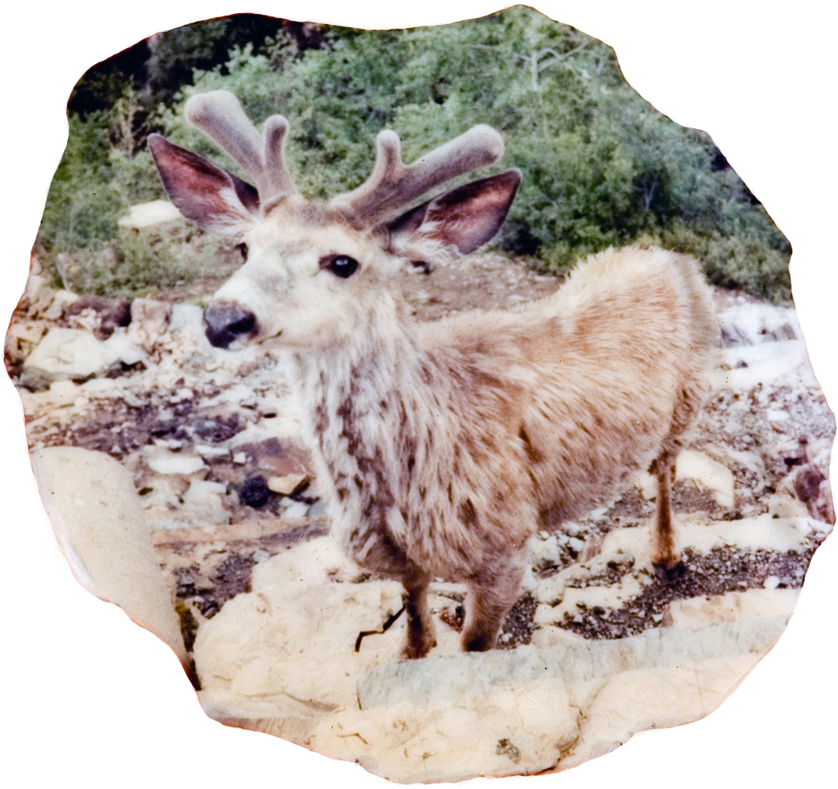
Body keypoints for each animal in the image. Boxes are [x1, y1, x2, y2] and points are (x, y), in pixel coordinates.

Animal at [149, 90, 717, 659]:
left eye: (342, 262)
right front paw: (409, 652)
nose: (224, 319)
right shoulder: (403, 559)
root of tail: (666, 254)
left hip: (689, 400)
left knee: (665, 473)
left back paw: (666, 555)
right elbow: (417, 626)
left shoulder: (506, 544)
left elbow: (474, 647)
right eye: (244, 247)